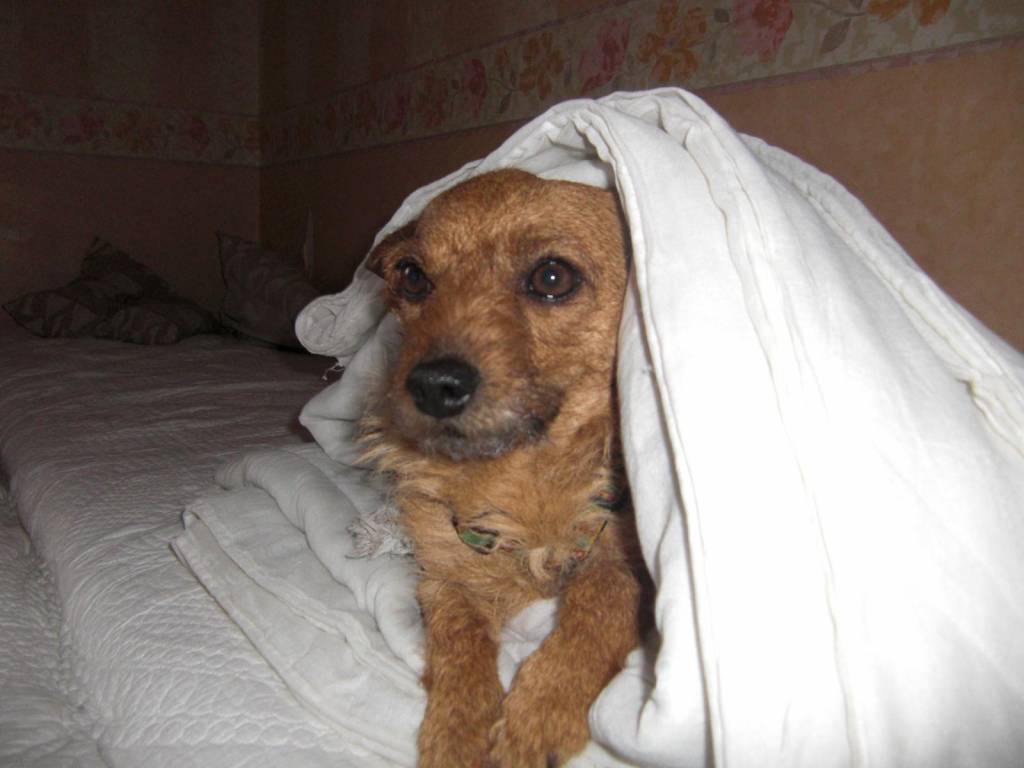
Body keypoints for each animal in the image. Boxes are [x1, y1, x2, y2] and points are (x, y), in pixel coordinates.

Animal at [360, 169, 647, 768]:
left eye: (552, 276)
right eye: (413, 277)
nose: (431, 386)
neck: (519, 472)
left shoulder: (626, 561)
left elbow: (599, 602)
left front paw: (538, 715)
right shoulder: (444, 575)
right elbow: (458, 637)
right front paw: (457, 732)